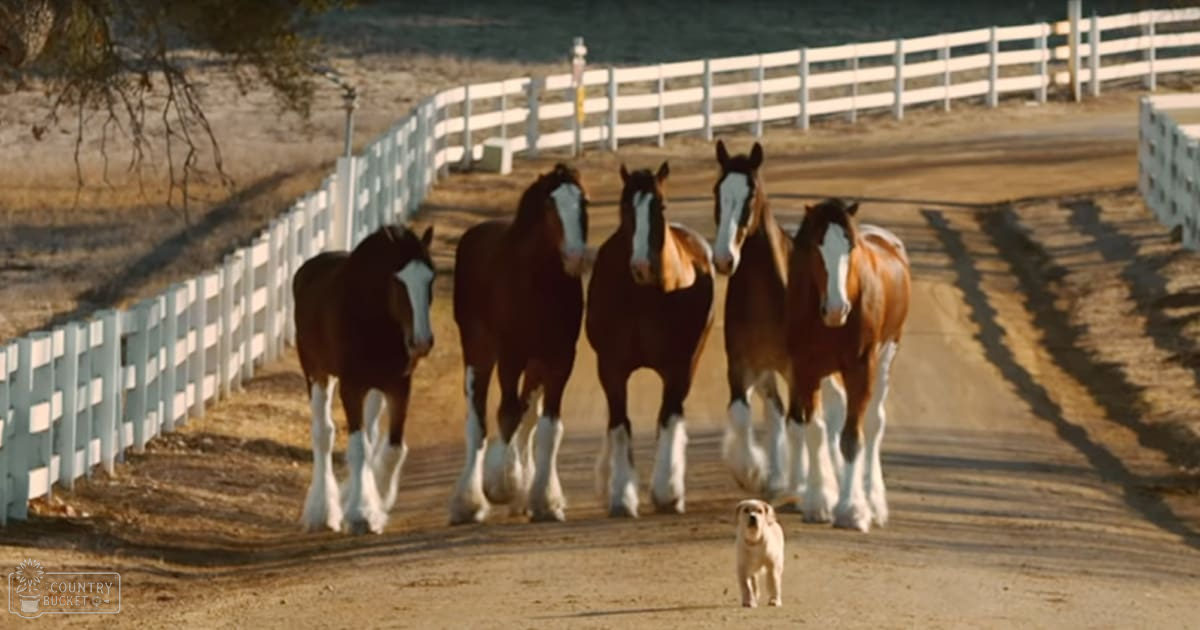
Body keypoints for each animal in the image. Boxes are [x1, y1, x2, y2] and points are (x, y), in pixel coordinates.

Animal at [292, 223, 436, 535]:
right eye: (398, 281)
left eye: (431, 278)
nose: (421, 342)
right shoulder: (351, 386)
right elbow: (359, 448)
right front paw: (360, 514)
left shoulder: (398, 385)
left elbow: (391, 449)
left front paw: (376, 502)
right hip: (317, 373)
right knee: (323, 433)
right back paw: (321, 512)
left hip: (373, 388)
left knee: (369, 433)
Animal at [448, 162, 590, 524]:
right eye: (551, 206)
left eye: (584, 203)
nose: (575, 256)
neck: (536, 282)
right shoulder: (511, 354)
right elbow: (507, 414)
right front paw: (501, 484)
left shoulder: (559, 359)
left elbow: (548, 428)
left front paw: (545, 501)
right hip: (480, 353)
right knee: (478, 419)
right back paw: (468, 501)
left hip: (535, 364)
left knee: (527, 418)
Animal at [587, 161, 715, 517]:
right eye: (624, 206)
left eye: (661, 206)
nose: (642, 266)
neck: (643, 296)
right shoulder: (611, 367)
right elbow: (620, 424)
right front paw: (621, 495)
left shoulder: (679, 367)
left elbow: (668, 419)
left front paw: (667, 493)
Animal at [710, 140, 847, 503]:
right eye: (717, 191)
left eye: (750, 195)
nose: (724, 259)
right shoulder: (740, 365)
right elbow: (742, 414)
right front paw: (753, 474)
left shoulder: (798, 369)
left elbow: (799, 423)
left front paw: (799, 483)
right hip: (768, 371)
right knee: (775, 411)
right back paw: (775, 475)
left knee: (826, 412)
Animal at [785, 198, 910, 532]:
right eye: (816, 245)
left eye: (850, 246)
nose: (837, 309)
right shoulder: (805, 370)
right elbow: (815, 430)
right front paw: (819, 502)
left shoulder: (860, 369)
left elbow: (853, 437)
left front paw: (852, 510)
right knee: (834, 414)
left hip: (886, 356)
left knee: (874, 422)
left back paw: (874, 501)